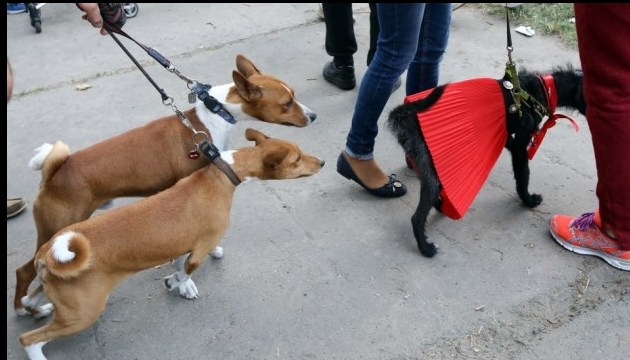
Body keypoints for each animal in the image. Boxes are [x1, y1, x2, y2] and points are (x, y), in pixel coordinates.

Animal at [11, 54, 314, 316]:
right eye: (287, 103)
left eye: (294, 95)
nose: (313, 116)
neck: (211, 118)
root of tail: (54, 174)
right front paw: (185, 284)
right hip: (57, 227)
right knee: (24, 271)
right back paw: (28, 310)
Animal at [388, 64, 592, 256]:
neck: (542, 89)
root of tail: (404, 114)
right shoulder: (520, 147)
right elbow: (523, 175)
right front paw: (528, 200)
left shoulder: (508, 138)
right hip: (430, 175)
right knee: (417, 217)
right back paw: (425, 247)